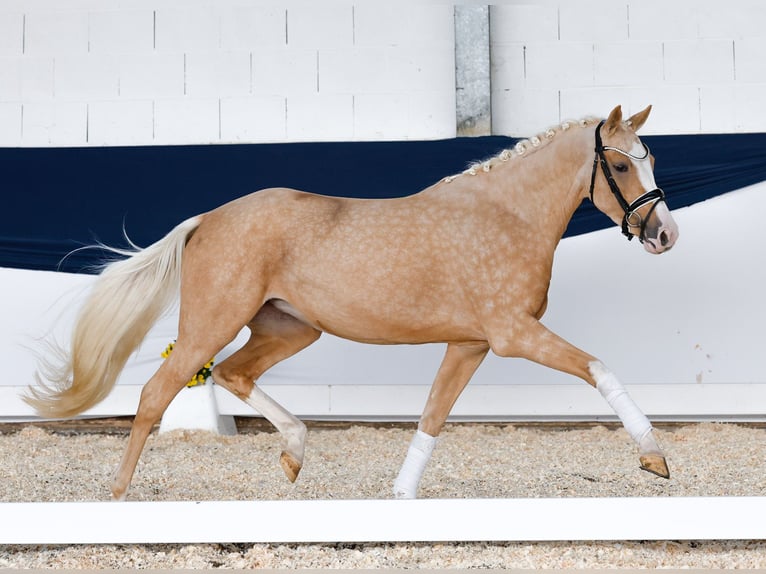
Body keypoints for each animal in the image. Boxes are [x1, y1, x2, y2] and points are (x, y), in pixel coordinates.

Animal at [27, 106, 680, 502]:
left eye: (651, 157)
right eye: (618, 163)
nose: (664, 235)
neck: (506, 214)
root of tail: (208, 218)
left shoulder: (470, 344)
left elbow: (432, 417)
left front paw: (401, 495)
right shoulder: (512, 335)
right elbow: (599, 367)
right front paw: (654, 458)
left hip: (289, 330)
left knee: (235, 374)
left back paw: (293, 454)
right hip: (209, 327)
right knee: (155, 394)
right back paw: (118, 496)